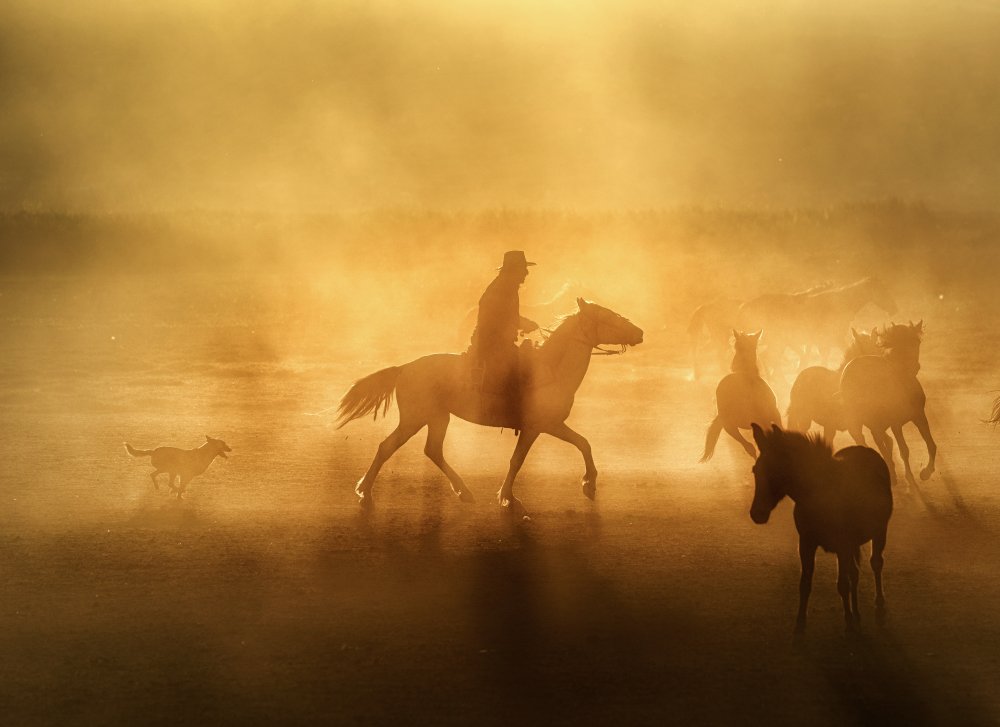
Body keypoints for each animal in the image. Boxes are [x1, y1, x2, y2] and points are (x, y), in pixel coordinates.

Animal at [340, 300, 644, 516]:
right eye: (608, 316)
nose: (639, 332)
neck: (553, 369)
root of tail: (404, 368)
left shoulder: (548, 426)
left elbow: (581, 444)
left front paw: (587, 484)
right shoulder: (540, 427)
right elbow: (522, 459)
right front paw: (510, 498)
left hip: (438, 417)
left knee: (432, 450)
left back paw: (463, 492)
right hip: (414, 419)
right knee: (387, 447)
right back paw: (365, 492)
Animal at [752, 424, 892, 636]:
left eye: (777, 471)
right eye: (755, 470)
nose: (757, 514)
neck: (820, 495)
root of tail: (865, 449)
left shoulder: (843, 546)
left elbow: (842, 584)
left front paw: (848, 623)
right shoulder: (807, 543)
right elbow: (805, 583)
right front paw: (800, 623)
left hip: (879, 532)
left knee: (875, 563)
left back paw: (879, 602)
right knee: (855, 573)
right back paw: (858, 613)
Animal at [844, 322, 936, 486]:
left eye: (917, 342)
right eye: (898, 344)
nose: (914, 367)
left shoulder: (919, 416)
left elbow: (931, 444)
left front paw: (926, 472)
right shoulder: (895, 423)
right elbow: (904, 450)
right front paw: (910, 479)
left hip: (876, 424)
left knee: (882, 443)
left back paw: (891, 473)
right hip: (855, 423)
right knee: (863, 441)